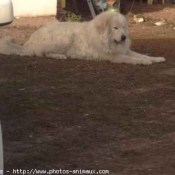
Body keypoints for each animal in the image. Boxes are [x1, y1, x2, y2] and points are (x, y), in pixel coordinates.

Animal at [0, 11, 165, 65]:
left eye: (123, 27)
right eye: (115, 28)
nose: (124, 37)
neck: (103, 37)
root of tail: (28, 41)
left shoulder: (123, 50)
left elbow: (141, 54)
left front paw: (155, 58)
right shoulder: (112, 56)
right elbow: (132, 59)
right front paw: (144, 62)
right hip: (63, 37)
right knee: (42, 53)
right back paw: (60, 56)